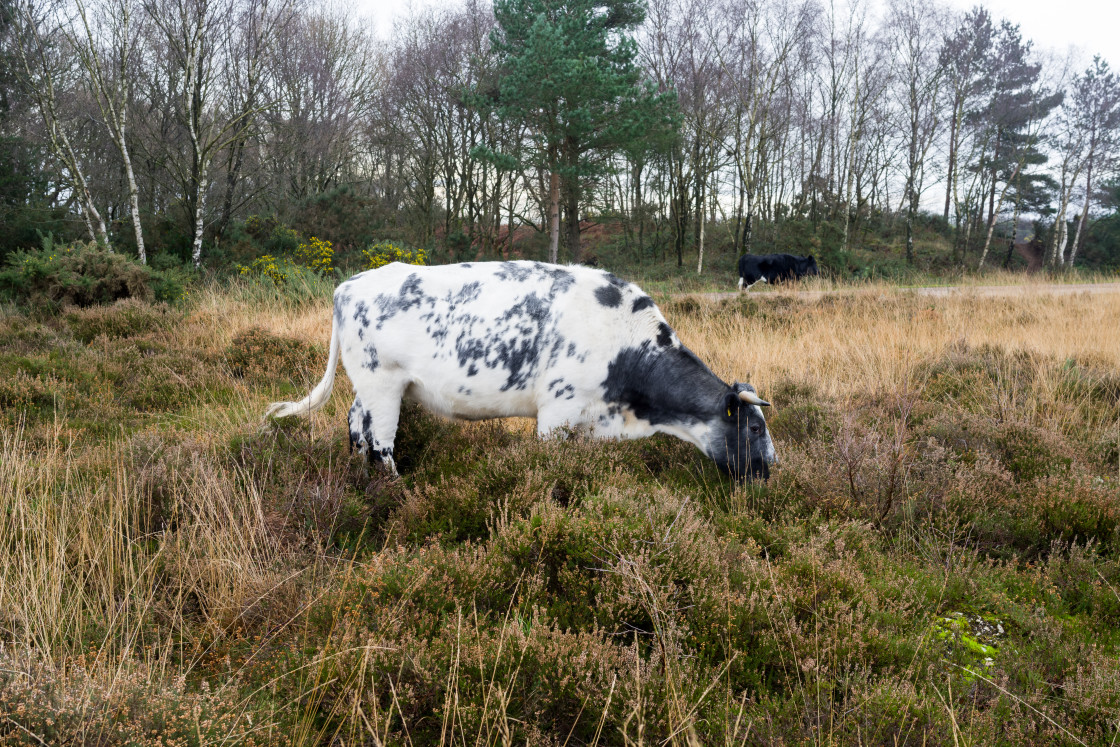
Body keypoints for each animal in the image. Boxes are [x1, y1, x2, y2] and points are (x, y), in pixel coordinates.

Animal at [267, 263, 779, 481]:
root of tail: (349, 284)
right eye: (754, 427)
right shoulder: (557, 411)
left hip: (368, 388)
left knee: (356, 427)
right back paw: (394, 488)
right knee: (380, 443)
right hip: (383, 383)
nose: (772, 466)